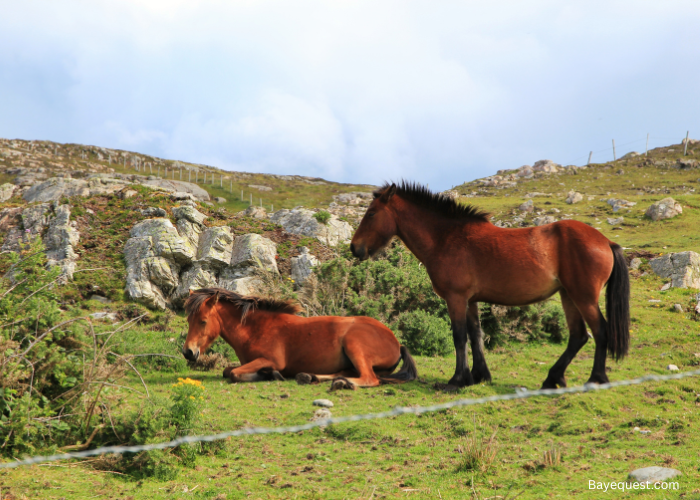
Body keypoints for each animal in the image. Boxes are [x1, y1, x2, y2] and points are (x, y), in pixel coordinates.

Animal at [183, 288, 418, 388]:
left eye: (203, 321)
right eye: (188, 319)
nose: (188, 352)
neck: (256, 328)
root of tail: (397, 342)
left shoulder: (271, 359)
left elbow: (233, 374)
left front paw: (271, 375)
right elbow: (227, 371)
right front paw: (270, 375)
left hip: (355, 345)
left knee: (369, 379)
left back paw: (343, 384)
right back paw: (309, 377)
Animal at [350, 182, 628, 388]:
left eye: (371, 213)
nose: (355, 248)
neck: (446, 239)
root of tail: (605, 241)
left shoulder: (456, 298)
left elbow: (459, 336)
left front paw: (457, 379)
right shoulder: (471, 301)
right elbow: (476, 335)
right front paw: (478, 375)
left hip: (583, 297)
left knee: (600, 331)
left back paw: (596, 379)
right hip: (568, 296)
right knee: (578, 336)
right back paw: (552, 379)